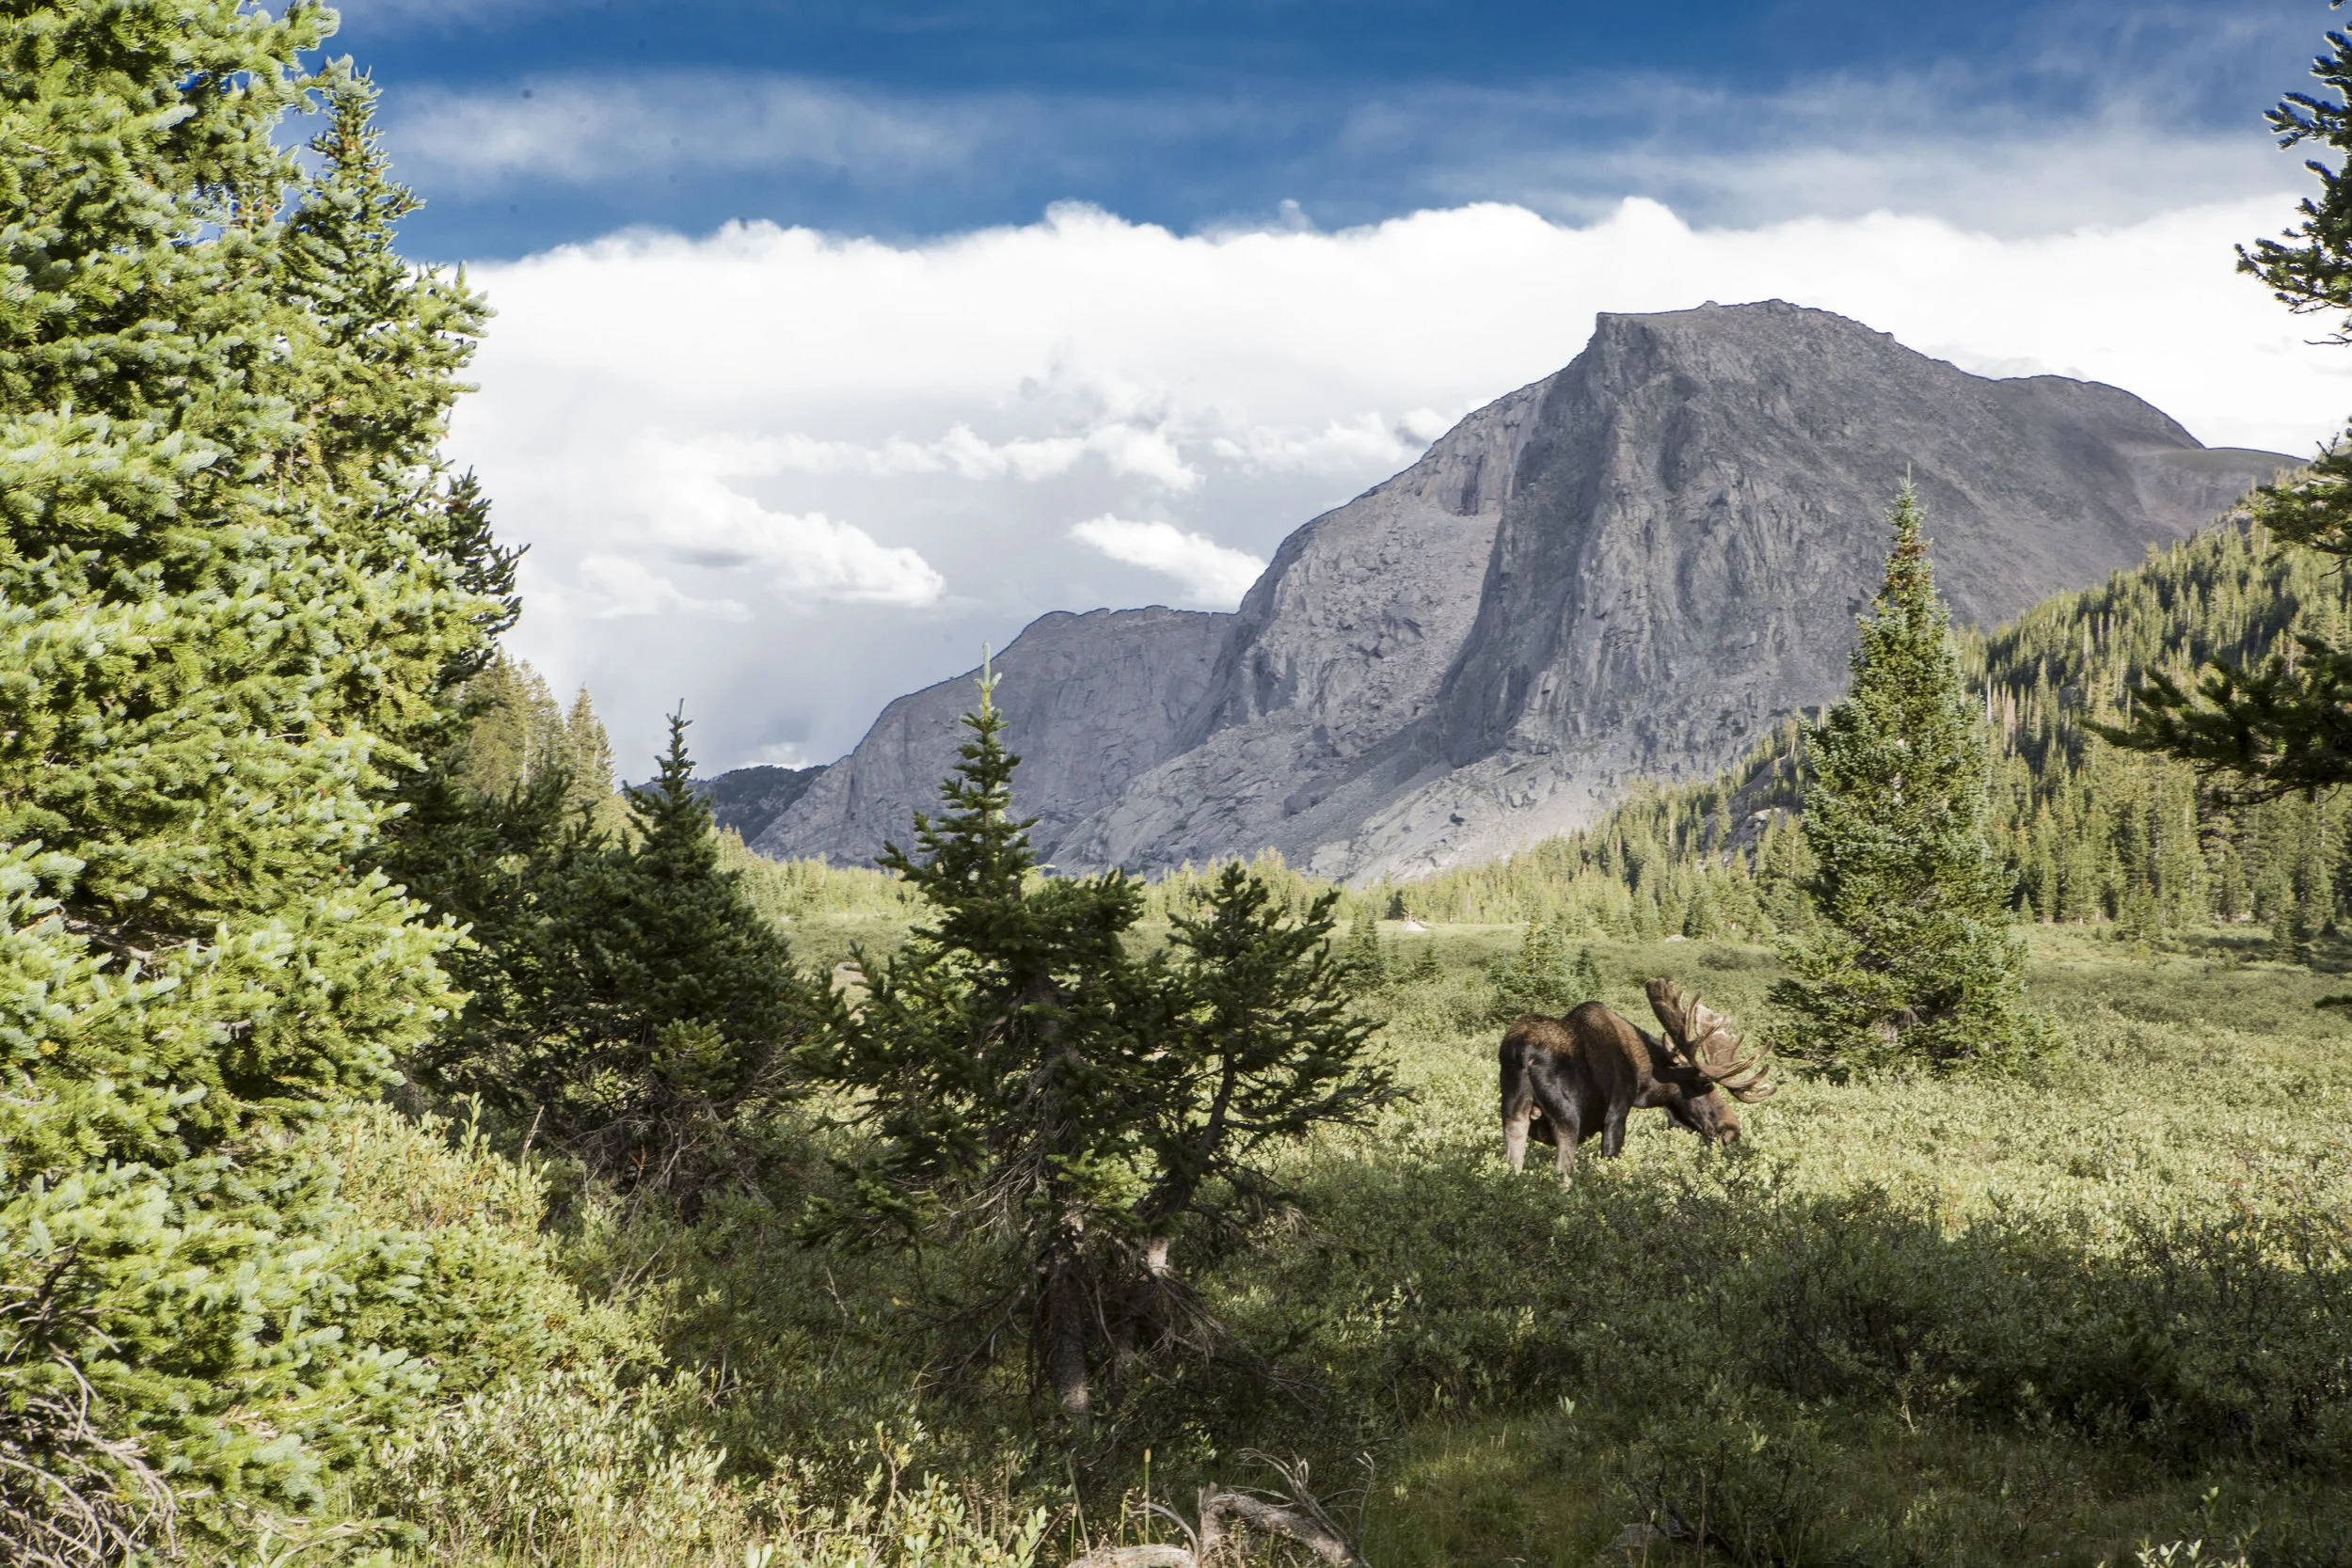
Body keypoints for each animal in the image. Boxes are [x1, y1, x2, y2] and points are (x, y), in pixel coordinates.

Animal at [1499, 978, 1775, 1182]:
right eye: (1704, 1084)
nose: (1732, 1129)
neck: (1643, 1078)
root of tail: (1524, 1054)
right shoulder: (1617, 1114)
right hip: (1566, 1120)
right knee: (1563, 1175)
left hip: (1513, 1114)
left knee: (1513, 1166)